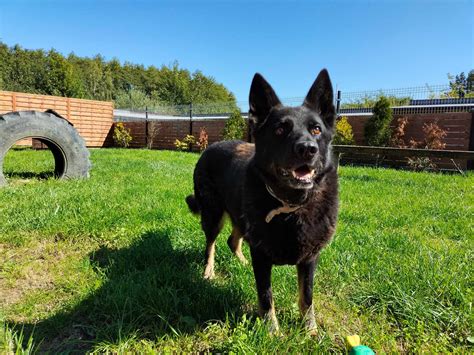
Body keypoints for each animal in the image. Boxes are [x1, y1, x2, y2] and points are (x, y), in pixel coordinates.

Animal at [185, 69, 336, 334]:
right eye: (280, 130)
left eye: (316, 129)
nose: (308, 149)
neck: (290, 206)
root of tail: (210, 146)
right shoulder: (262, 256)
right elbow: (266, 296)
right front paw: (272, 332)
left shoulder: (309, 259)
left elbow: (307, 297)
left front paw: (310, 331)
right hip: (213, 215)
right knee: (210, 245)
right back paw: (209, 271)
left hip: (240, 217)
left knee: (232, 240)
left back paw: (242, 262)